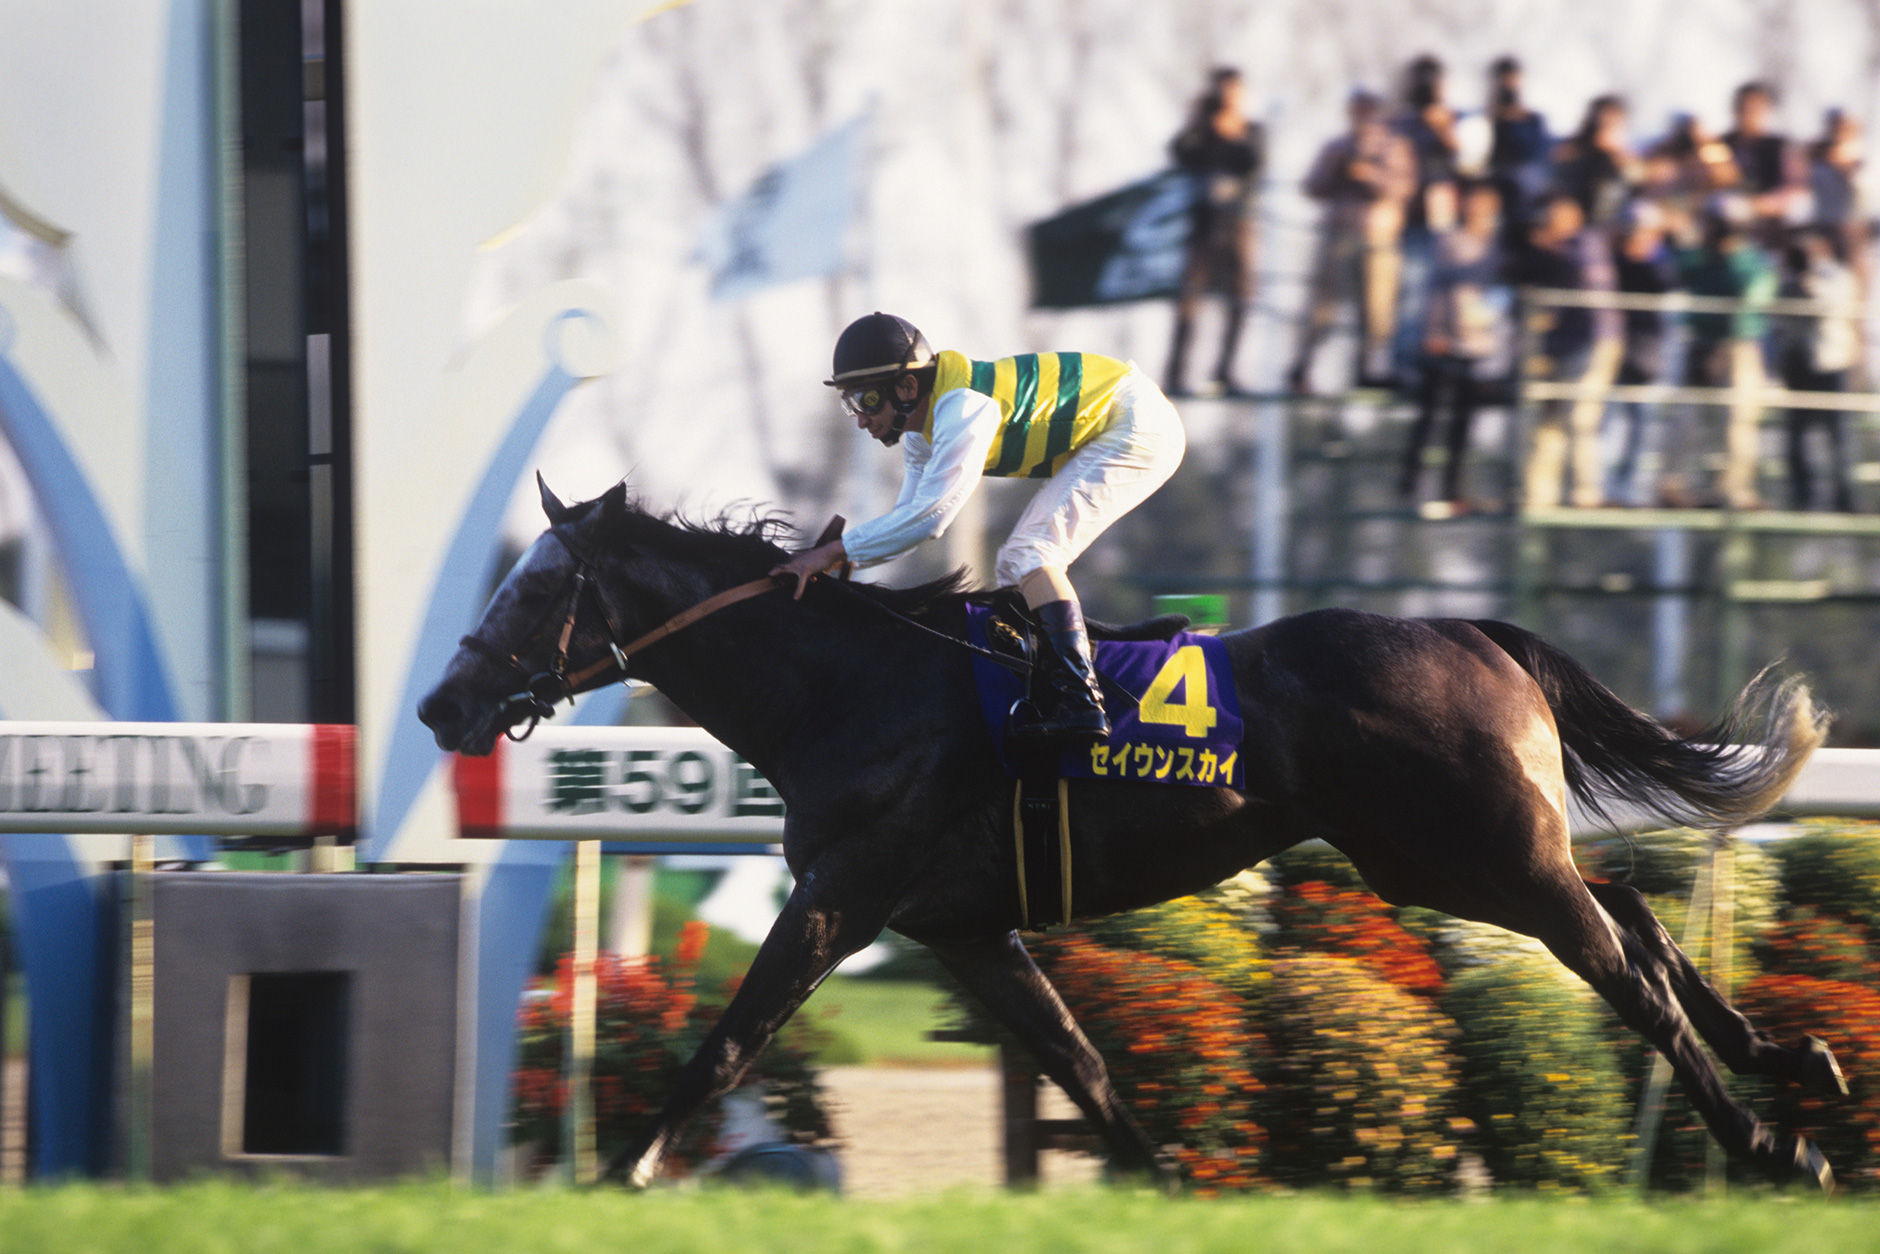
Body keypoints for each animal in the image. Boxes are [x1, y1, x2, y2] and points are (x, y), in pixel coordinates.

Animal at [417, 478, 1845, 1190]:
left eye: (533, 590)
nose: (438, 706)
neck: (848, 686)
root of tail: (1470, 630)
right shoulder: (965, 929)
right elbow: (1083, 1069)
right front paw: (1161, 1184)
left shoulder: (841, 893)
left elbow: (728, 1038)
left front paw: (622, 1172)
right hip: (1456, 854)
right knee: (1635, 918)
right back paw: (1790, 1062)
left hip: (1473, 854)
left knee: (1610, 957)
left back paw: (1767, 1138)